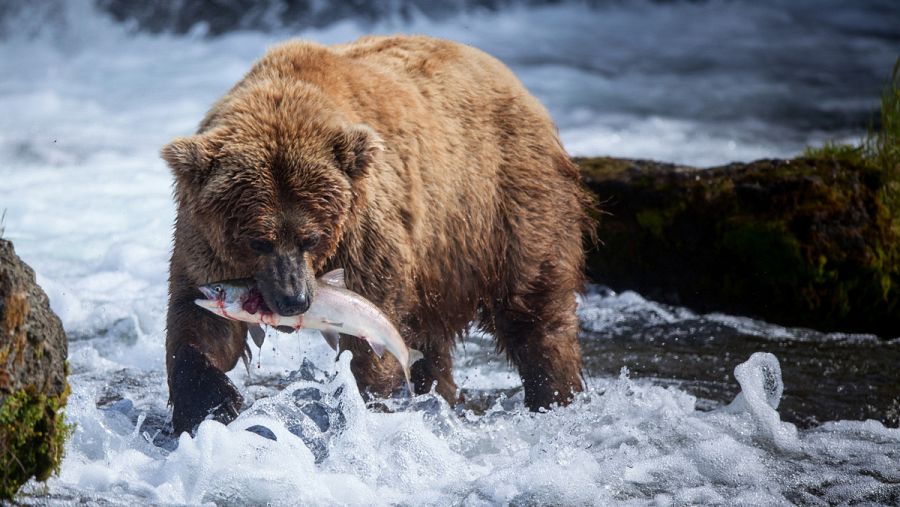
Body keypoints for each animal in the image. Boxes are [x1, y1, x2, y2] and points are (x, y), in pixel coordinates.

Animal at [161, 35, 595, 435]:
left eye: (311, 237)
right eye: (258, 240)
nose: (293, 300)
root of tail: (515, 83)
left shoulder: (364, 234)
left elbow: (370, 332)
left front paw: (363, 402)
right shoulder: (206, 241)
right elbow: (201, 327)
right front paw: (210, 408)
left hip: (503, 203)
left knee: (535, 308)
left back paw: (555, 395)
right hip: (437, 260)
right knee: (431, 340)